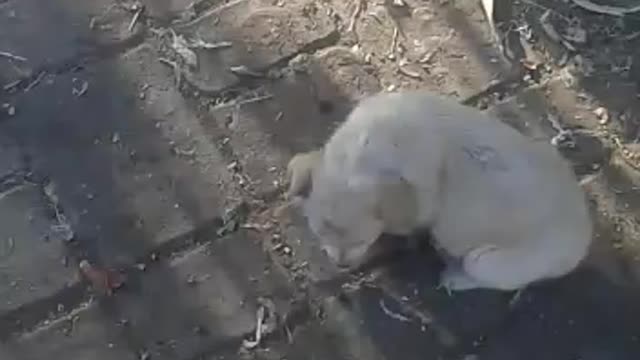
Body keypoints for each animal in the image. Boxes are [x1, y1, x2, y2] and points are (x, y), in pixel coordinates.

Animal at [288, 90, 592, 292]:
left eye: (361, 241)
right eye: (319, 233)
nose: (341, 266)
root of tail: (583, 239)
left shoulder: (420, 202)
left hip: (489, 261)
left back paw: (455, 277)